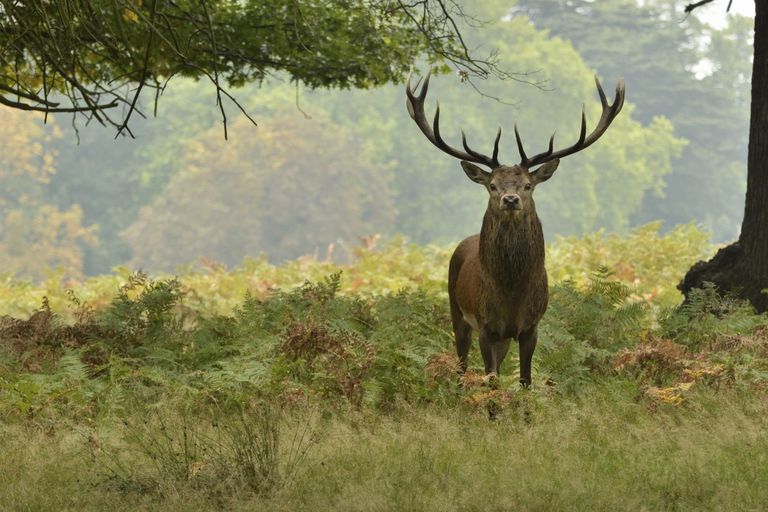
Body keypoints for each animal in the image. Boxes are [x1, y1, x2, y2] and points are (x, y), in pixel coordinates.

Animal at [405, 71, 625, 387]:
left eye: (528, 185)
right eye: (492, 185)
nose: (510, 199)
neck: (511, 293)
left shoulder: (531, 326)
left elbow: (525, 381)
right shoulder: (486, 326)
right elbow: (492, 380)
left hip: (503, 337)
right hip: (456, 310)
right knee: (461, 364)